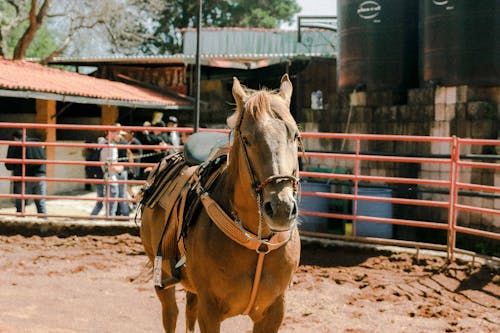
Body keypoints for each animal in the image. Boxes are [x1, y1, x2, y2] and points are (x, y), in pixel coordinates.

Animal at [141, 75, 300, 332]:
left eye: (295, 136)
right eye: (246, 138)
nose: (281, 208)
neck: (258, 243)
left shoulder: (274, 311)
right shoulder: (210, 311)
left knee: (189, 311)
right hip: (162, 275)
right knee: (171, 314)